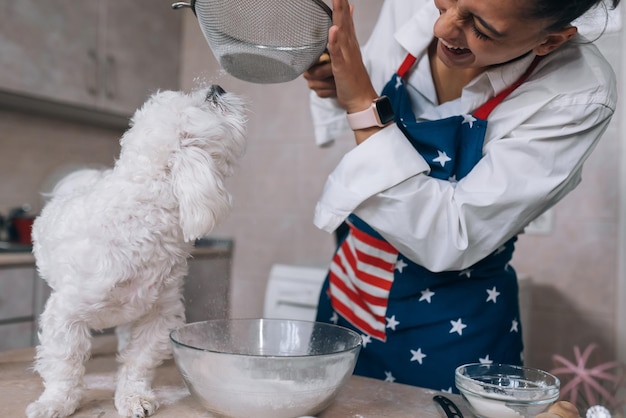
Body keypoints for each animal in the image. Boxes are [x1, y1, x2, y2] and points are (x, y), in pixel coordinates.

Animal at [26, 85, 246, 418]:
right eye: (208, 103)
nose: (216, 88)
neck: (141, 218)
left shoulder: (159, 315)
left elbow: (138, 362)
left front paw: (133, 397)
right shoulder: (65, 315)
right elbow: (64, 365)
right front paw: (56, 402)